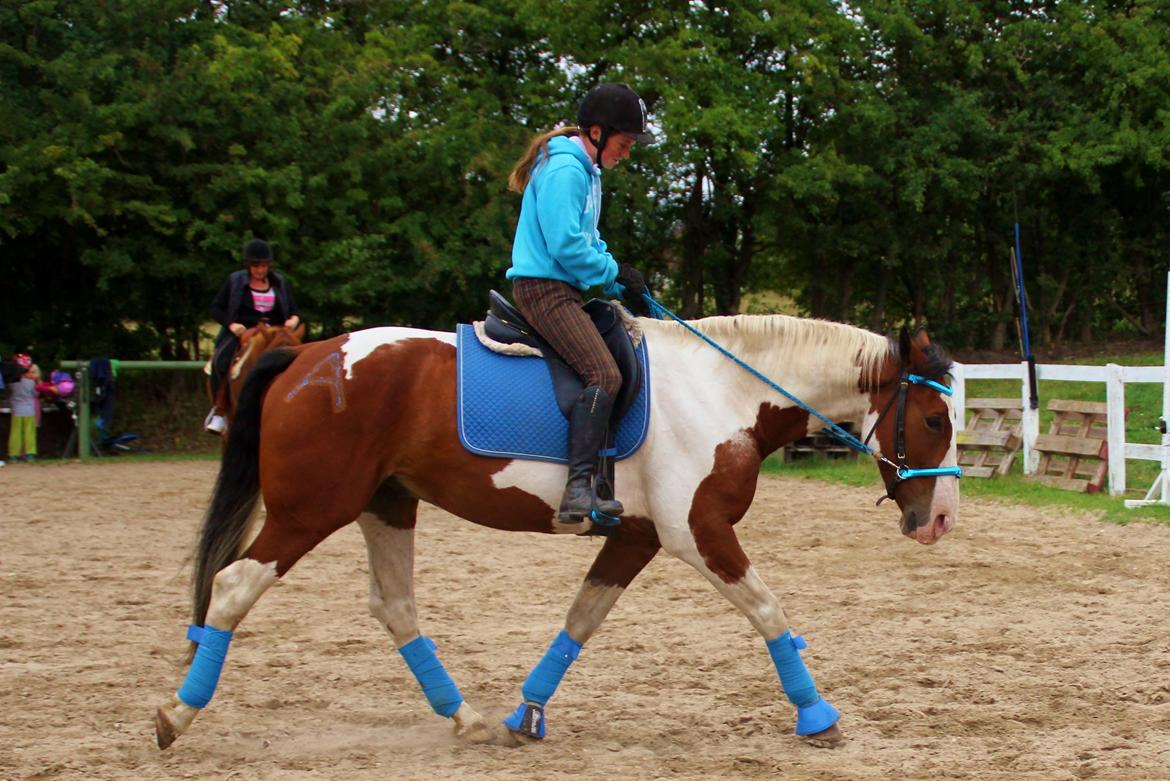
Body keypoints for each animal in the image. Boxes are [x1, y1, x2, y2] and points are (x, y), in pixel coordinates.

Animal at [155, 310, 959, 748]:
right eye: (933, 419)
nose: (942, 520)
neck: (727, 389)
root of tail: (310, 354)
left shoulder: (636, 536)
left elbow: (582, 618)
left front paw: (525, 710)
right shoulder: (696, 532)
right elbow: (769, 610)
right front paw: (816, 714)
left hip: (386, 504)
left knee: (394, 606)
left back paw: (467, 717)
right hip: (312, 510)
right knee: (233, 585)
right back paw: (177, 712)